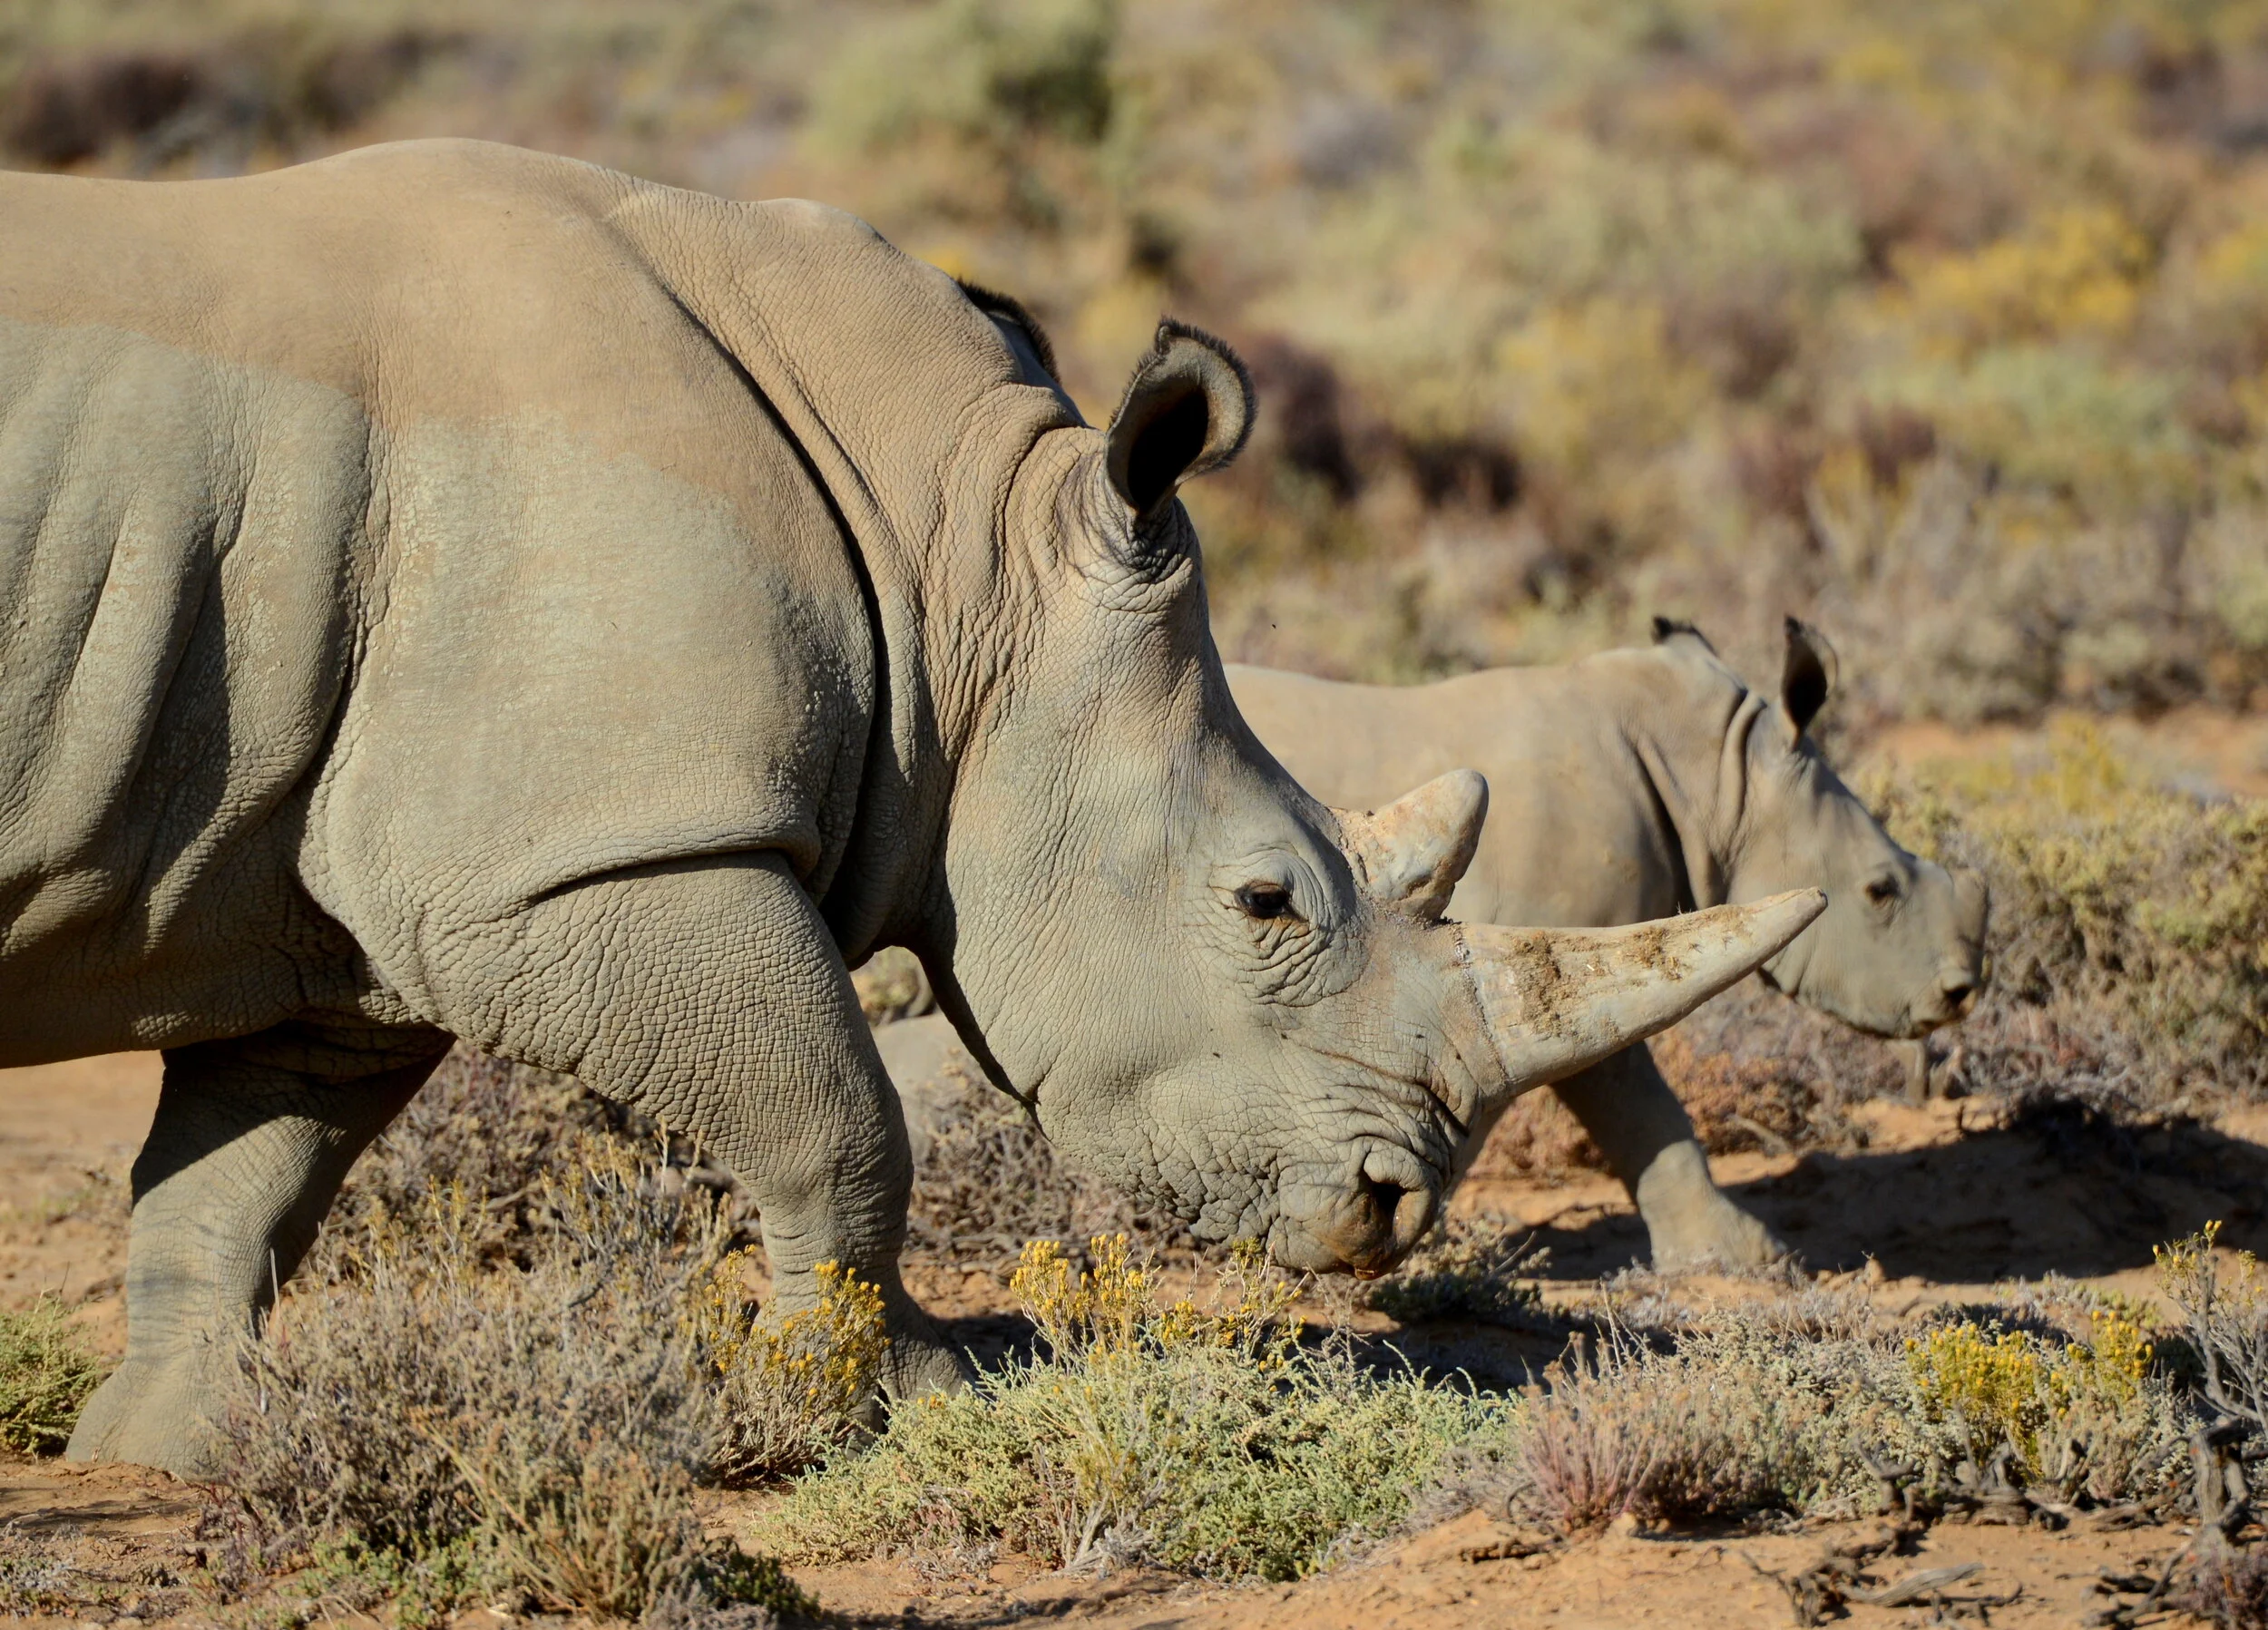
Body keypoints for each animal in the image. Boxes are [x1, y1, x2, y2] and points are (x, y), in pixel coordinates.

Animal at [0, 139, 1819, 1475]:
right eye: (1264, 903)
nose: (1391, 1208)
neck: (955, 555)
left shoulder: (350, 899)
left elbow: (241, 1177)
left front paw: (168, 1458)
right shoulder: (584, 857)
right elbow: (836, 1114)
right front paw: (891, 1405)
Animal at [1220, 619, 1988, 1269]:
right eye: (1881, 891)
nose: (1960, 993)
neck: (1720, 779)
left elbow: (1635, 1112)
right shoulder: (1533, 976)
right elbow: (1633, 1102)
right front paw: (1760, 1260)